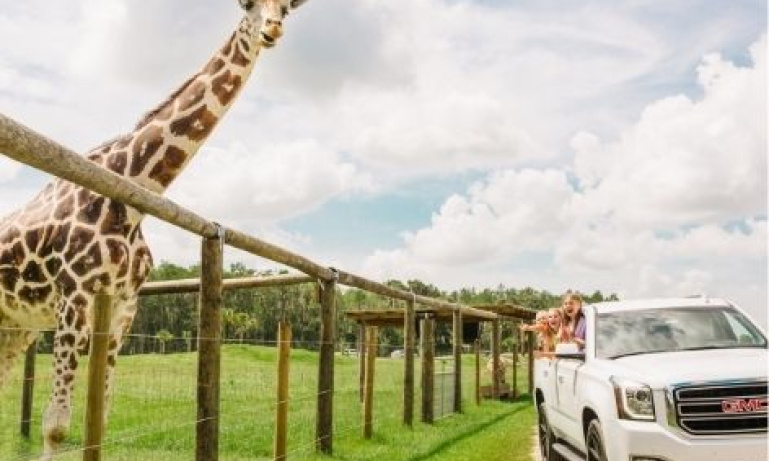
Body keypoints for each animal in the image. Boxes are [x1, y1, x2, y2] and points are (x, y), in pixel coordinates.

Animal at [3, 0, 308, 456]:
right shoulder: (74, 294)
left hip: (16, 326)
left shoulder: (124, 306)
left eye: (286, 9)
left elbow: (100, 418)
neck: (131, 198)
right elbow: (56, 425)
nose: (271, 30)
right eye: (248, 6)